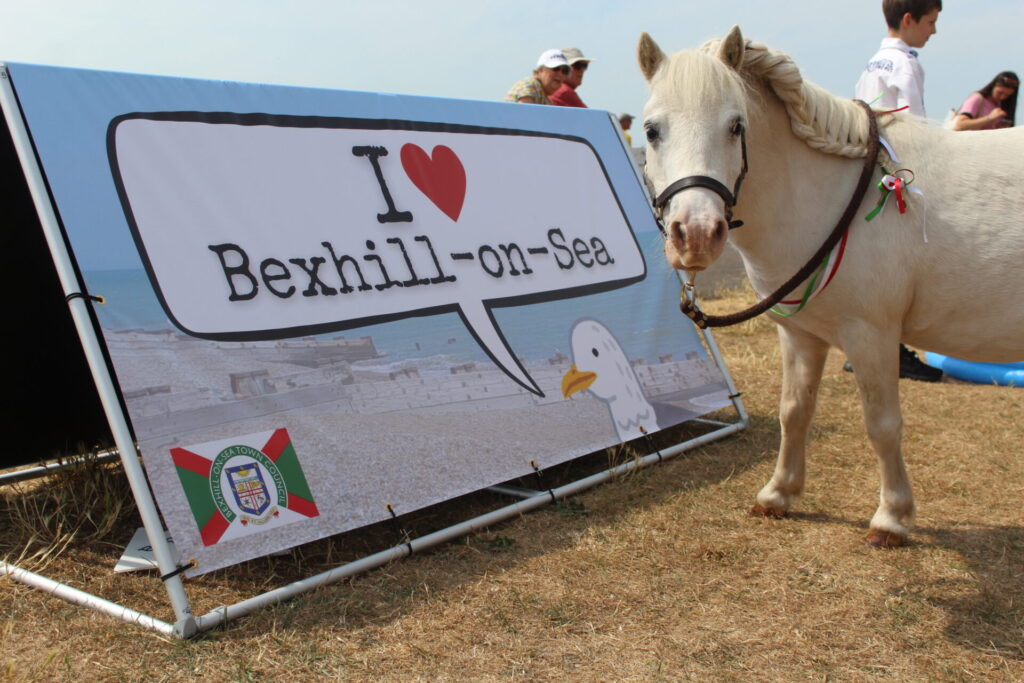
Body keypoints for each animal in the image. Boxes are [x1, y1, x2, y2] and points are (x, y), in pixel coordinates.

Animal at [637, 26, 1024, 547]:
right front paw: (779, 494)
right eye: (651, 131)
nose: (695, 235)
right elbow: (794, 410)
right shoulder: (799, 331)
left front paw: (892, 517)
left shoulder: (871, 333)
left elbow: (882, 425)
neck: (829, 199)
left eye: (736, 126)